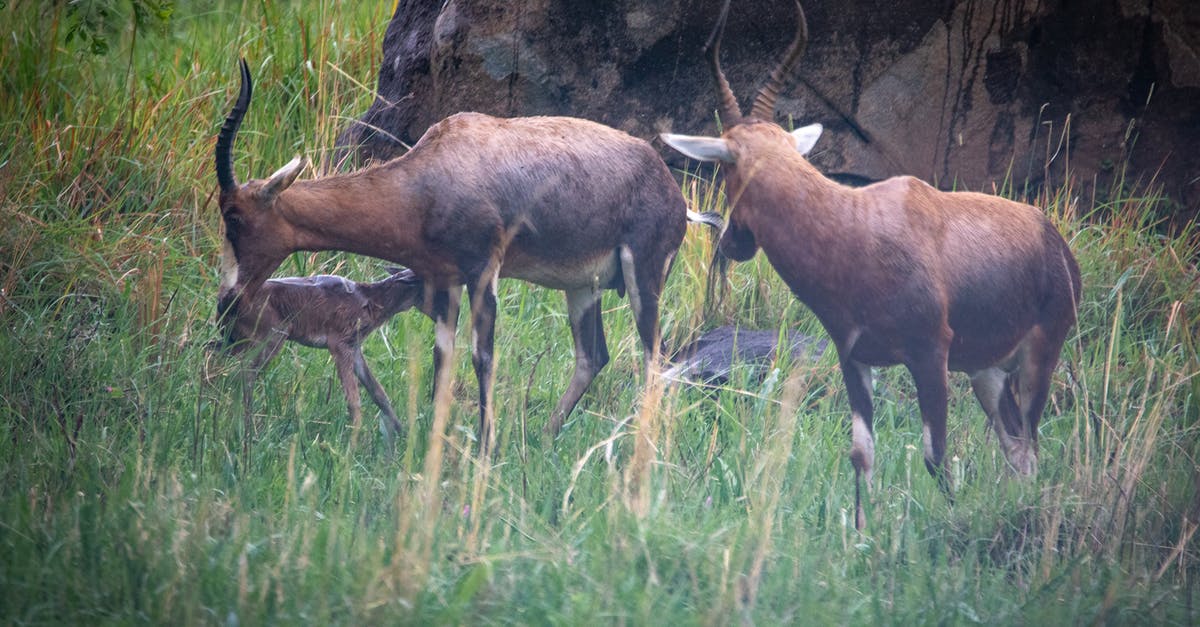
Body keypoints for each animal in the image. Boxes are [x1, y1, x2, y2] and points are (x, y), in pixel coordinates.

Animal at [220, 264, 427, 449]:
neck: (372, 303)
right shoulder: (339, 341)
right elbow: (354, 400)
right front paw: (353, 447)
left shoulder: (355, 346)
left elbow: (378, 393)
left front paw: (406, 436)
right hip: (270, 334)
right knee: (244, 373)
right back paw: (246, 432)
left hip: (237, 339)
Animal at [662, 1, 1084, 526]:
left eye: (724, 164)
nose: (732, 241)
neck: (855, 222)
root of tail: (1056, 243)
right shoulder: (855, 358)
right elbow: (862, 454)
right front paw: (862, 535)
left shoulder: (929, 355)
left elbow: (935, 455)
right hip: (986, 371)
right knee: (1015, 445)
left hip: (1038, 356)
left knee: (1028, 442)